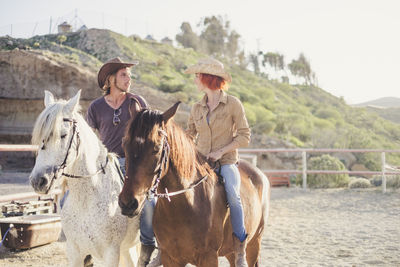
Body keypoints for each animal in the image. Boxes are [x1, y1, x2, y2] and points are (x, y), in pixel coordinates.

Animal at [29, 91, 140, 266]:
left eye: (63, 135)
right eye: (41, 138)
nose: (38, 181)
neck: (86, 200)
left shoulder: (110, 253)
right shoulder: (75, 252)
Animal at [118, 102, 268, 266]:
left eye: (156, 149)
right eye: (125, 144)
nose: (127, 203)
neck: (187, 204)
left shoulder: (209, 257)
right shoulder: (171, 257)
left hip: (254, 244)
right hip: (230, 252)